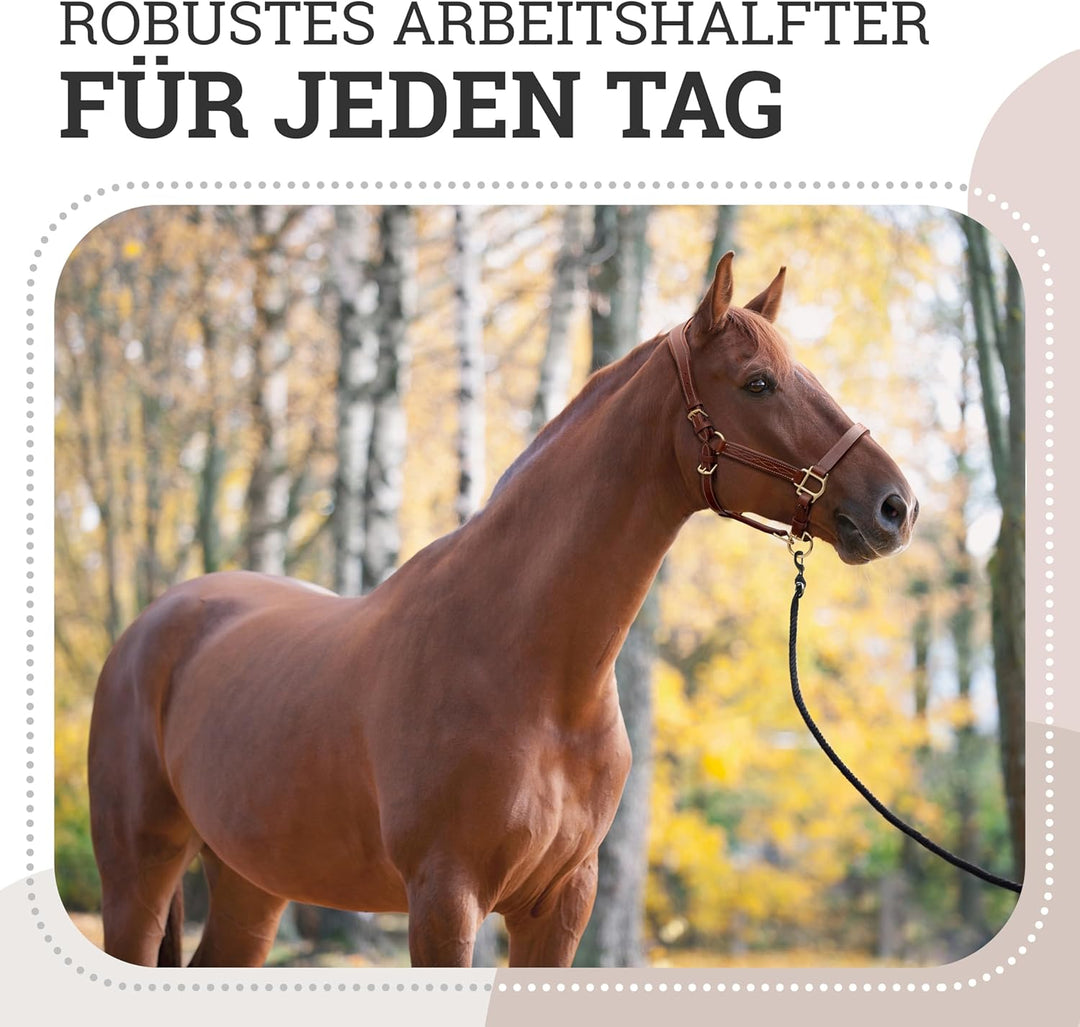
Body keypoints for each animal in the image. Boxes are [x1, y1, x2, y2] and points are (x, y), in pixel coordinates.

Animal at [88, 252, 918, 969]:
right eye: (757, 383)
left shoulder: (561, 905)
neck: (537, 674)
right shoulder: (444, 900)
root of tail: (154, 623)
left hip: (250, 880)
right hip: (139, 875)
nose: (895, 505)